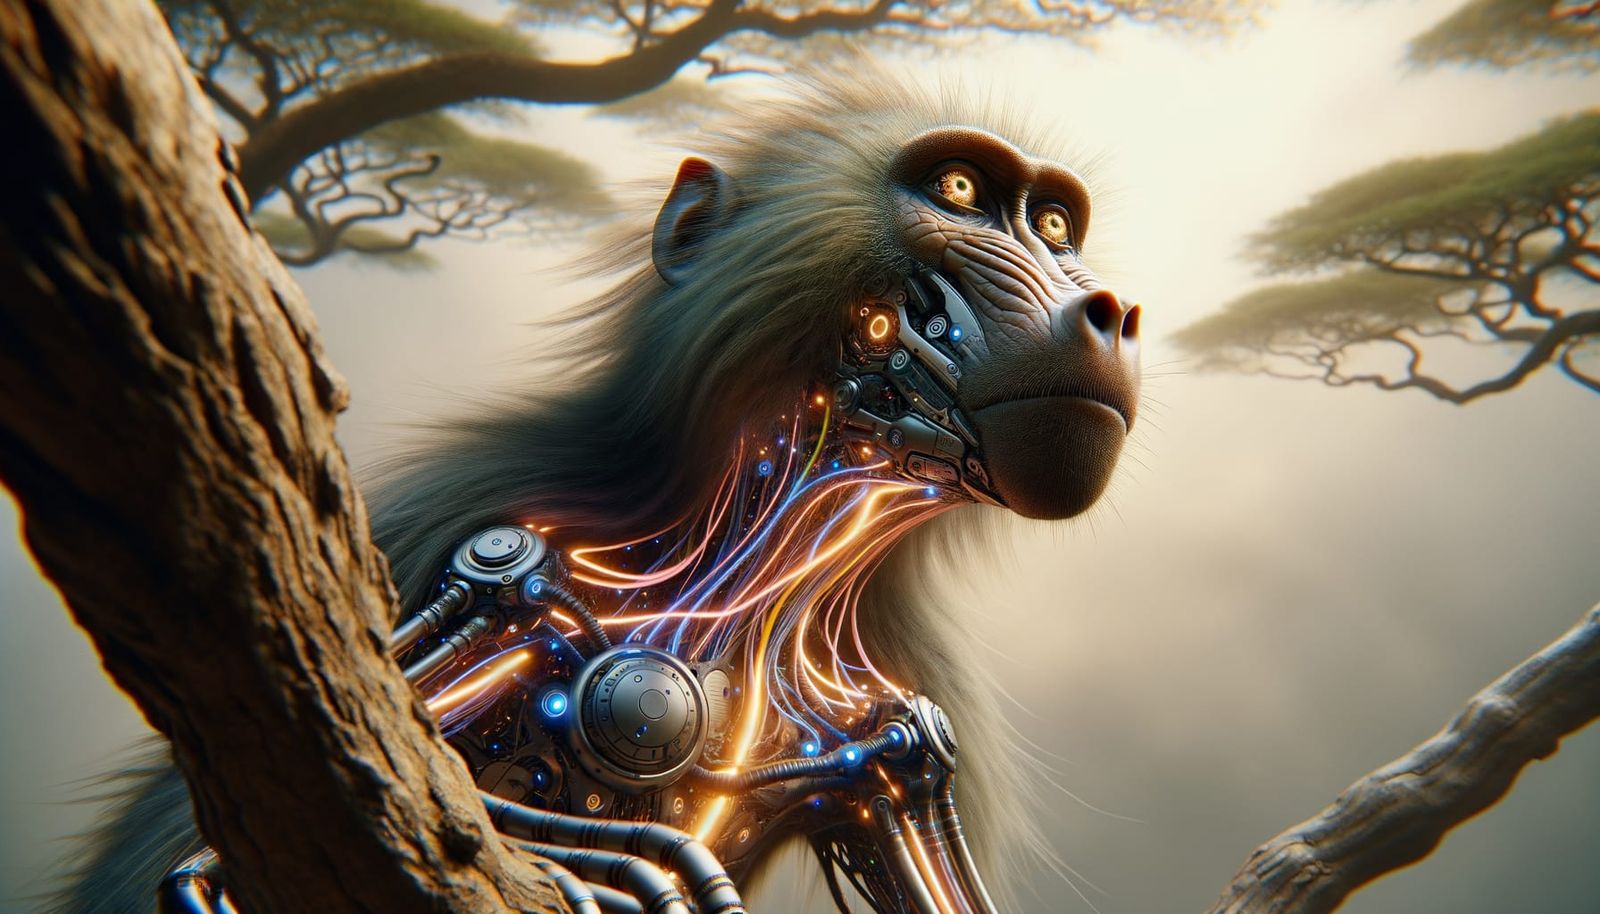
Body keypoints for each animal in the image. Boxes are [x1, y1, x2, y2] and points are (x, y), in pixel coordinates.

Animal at [45, 69, 1139, 913]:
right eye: (957, 188)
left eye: (1052, 225)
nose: (1110, 308)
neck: (751, 590)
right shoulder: (491, 561)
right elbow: (200, 866)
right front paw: (604, 865)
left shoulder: (899, 738)